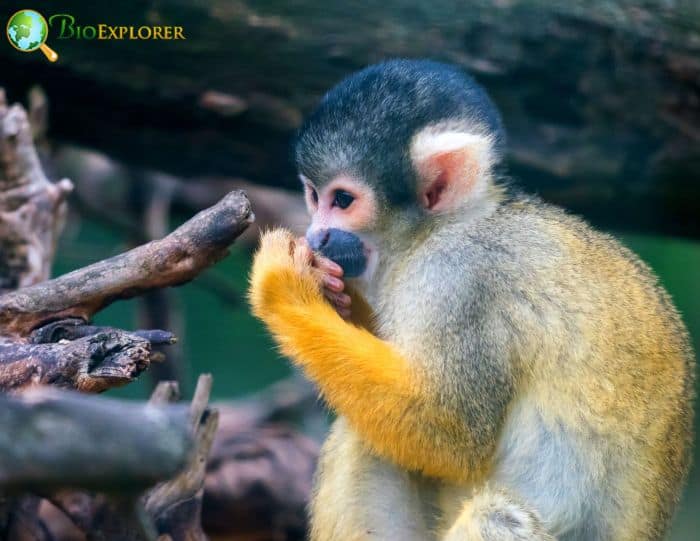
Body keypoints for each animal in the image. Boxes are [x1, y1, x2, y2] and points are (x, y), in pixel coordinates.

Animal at [247, 60, 696, 540]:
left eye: (343, 200)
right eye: (314, 196)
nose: (316, 236)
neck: (441, 228)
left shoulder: (460, 278)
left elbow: (447, 432)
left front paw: (284, 286)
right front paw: (338, 299)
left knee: (496, 515)